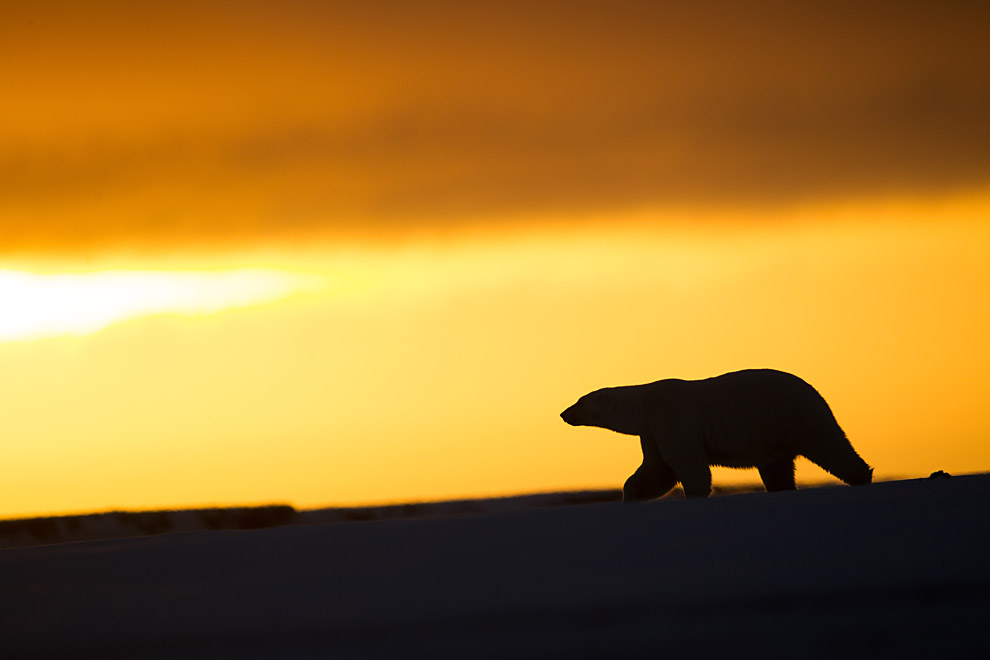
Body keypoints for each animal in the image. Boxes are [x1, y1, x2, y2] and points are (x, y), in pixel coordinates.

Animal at [560, 368, 872, 498]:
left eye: (579, 401)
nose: (563, 413)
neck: (647, 403)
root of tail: (815, 391)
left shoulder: (674, 420)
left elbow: (688, 465)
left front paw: (695, 495)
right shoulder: (653, 431)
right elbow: (657, 469)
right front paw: (632, 493)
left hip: (796, 417)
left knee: (830, 447)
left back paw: (862, 476)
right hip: (773, 436)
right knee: (777, 468)